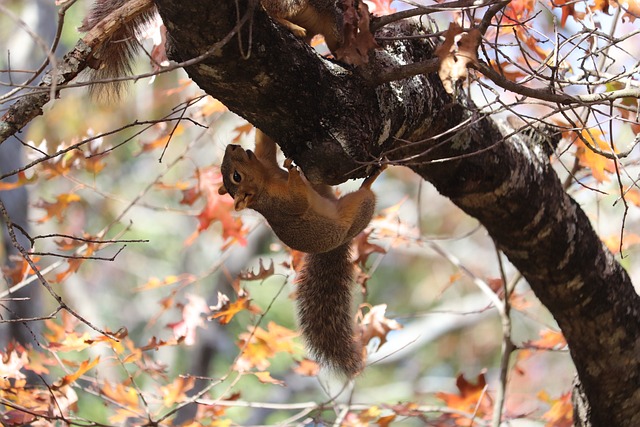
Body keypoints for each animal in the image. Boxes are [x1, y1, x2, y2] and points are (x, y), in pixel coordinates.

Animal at [218, 130, 382, 378]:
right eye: (236, 176)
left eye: (229, 170)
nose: (232, 146)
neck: (268, 178)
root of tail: (335, 246)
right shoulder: (282, 204)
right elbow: (298, 201)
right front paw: (294, 172)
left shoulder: (266, 161)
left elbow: (264, 144)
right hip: (358, 209)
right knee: (365, 196)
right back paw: (371, 179)